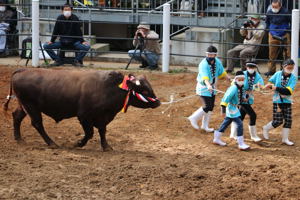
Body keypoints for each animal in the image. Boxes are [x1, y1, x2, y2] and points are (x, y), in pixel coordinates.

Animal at [2, 68, 162, 151]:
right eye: (144, 91)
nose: (158, 102)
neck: (109, 88)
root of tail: (22, 71)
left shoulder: (101, 117)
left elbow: (102, 131)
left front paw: (106, 146)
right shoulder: (84, 116)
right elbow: (90, 133)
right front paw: (78, 143)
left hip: (24, 106)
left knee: (16, 116)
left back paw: (19, 139)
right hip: (31, 106)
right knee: (37, 123)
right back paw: (51, 143)